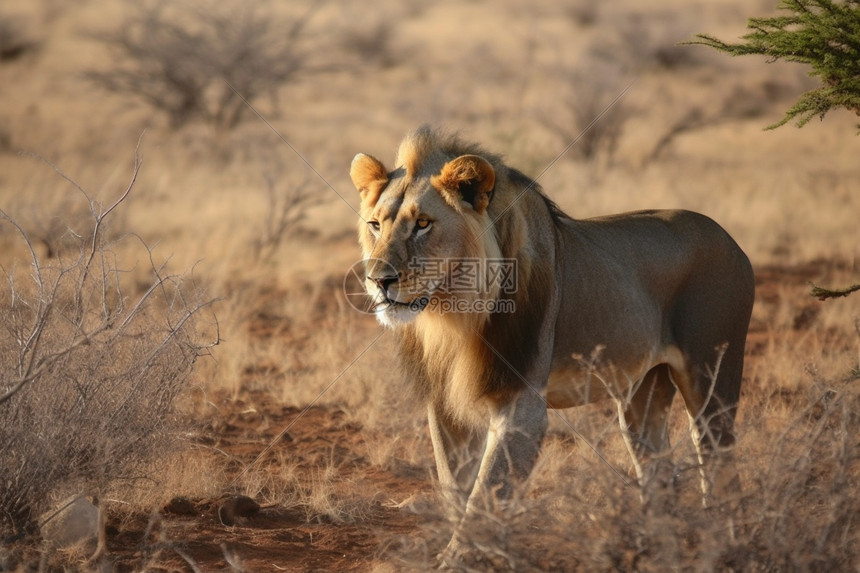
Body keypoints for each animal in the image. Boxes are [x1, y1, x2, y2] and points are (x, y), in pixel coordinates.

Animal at [350, 126, 752, 560]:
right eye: (375, 225)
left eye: (423, 224)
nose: (378, 279)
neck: (450, 316)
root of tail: (731, 239)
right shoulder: (443, 404)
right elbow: (454, 488)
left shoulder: (521, 407)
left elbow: (486, 492)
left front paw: (458, 559)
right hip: (642, 392)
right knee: (657, 467)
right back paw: (652, 545)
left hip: (711, 375)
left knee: (717, 457)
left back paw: (724, 539)